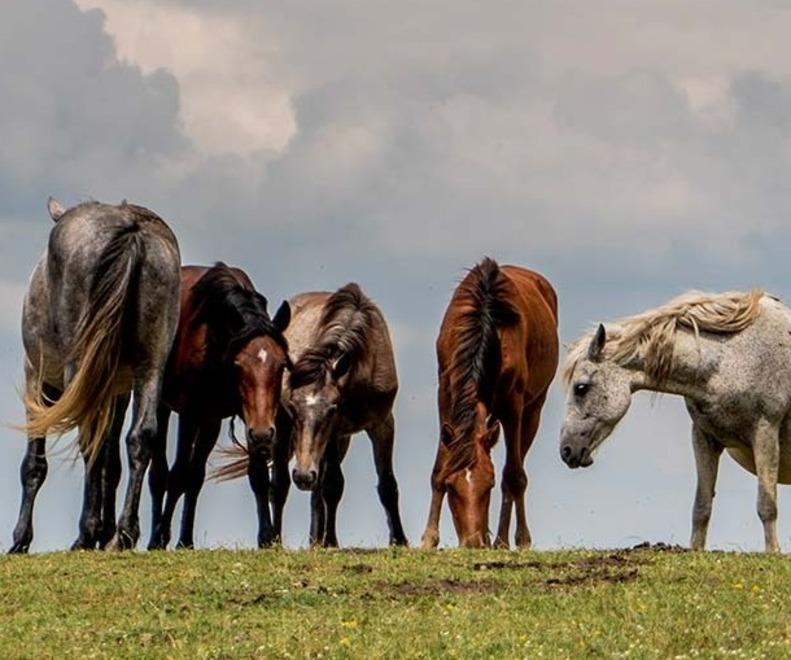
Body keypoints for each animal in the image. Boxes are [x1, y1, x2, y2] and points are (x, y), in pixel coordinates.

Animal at [9, 197, 180, 553]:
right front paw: (107, 530)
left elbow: (34, 463)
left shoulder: (35, 379)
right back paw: (123, 533)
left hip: (80, 372)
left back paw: (86, 534)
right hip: (150, 366)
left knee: (91, 442)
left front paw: (21, 539)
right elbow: (111, 463)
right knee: (140, 437)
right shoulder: (117, 390)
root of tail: (132, 229)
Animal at [146, 263, 291, 549]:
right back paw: (156, 536)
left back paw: (184, 539)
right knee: (161, 473)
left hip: (210, 421)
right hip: (165, 407)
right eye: (238, 365)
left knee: (195, 476)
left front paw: (266, 537)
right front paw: (160, 536)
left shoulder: (246, 416)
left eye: (281, 365)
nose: (264, 434)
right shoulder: (190, 413)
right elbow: (178, 474)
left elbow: (257, 474)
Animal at [217, 283, 408, 548]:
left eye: (331, 409)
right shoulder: (332, 432)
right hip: (281, 432)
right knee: (278, 485)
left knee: (315, 492)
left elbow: (387, 484)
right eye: (294, 407)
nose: (303, 476)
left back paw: (314, 539)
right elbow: (332, 485)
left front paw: (399, 540)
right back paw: (276, 538)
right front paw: (331, 542)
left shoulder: (381, 423)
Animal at [420, 258, 559, 549]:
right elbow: (439, 466)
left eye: (489, 485)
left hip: (533, 411)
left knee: (516, 470)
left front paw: (519, 540)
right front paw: (429, 538)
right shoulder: (445, 393)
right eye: (451, 485)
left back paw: (505, 539)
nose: (472, 543)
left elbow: (512, 476)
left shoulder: (513, 405)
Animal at [559, 289, 791, 552]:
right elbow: (701, 506)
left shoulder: (765, 432)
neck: (732, 357)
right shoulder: (704, 437)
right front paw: (696, 551)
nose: (567, 450)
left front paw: (773, 552)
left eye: (581, 388)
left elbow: (766, 504)